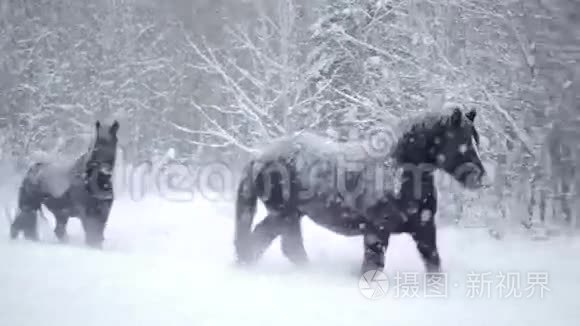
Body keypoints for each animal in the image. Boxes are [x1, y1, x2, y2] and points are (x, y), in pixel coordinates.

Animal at [233, 107, 488, 276]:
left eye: (474, 139)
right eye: (462, 142)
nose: (480, 178)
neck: (398, 173)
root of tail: (259, 156)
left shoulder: (424, 228)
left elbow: (434, 264)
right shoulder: (377, 231)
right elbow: (372, 266)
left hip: (290, 216)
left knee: (273, 243)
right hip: (284, 215)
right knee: (273, 243)